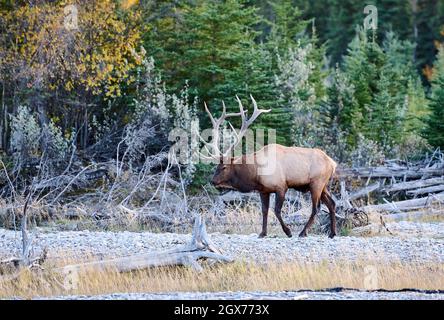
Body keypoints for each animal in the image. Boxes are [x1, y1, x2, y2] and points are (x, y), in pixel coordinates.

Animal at [199, 95, 338, 238]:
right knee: (332, 204)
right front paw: (262, 233)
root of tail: (332, 163)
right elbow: (265, 210)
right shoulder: (263, 190)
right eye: (217, 166)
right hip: (323, 185)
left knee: (316, 208)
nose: (213, 181)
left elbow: (276, 210)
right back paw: (332, 233)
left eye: (225, 167)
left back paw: (303, 232)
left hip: (316, 183)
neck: (256, 173)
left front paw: (288, 231)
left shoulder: (281, 186)